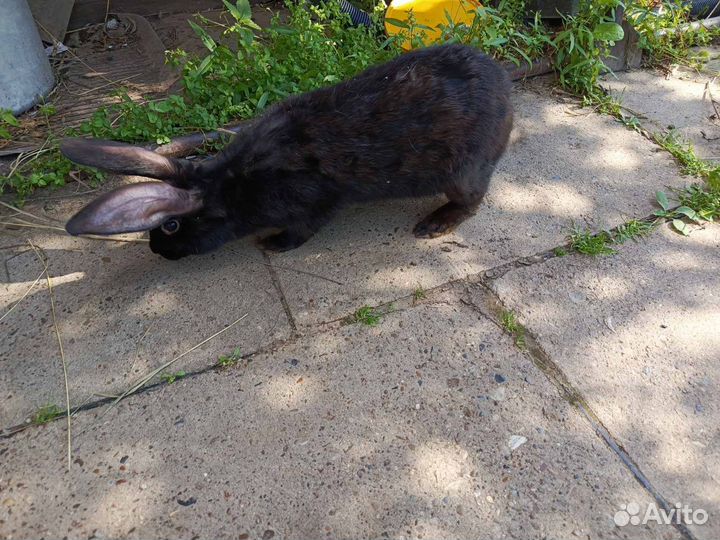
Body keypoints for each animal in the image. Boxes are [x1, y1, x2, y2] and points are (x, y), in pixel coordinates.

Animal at [61, 43, 513, 260]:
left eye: (170, 226)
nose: (157, 251)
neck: (227, 187)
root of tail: (505, 92)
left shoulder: (311, 203)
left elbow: (303, 231)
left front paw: (272, 245)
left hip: (461, 170)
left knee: (470, 200)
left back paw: (432, 225)